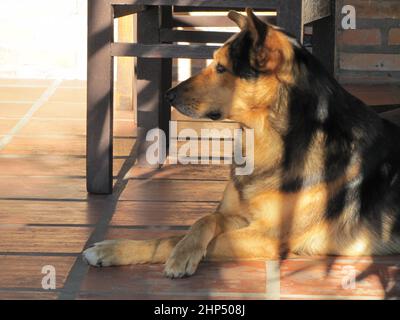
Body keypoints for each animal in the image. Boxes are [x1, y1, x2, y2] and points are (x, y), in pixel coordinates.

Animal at [83, 7, 400, 278]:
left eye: (222, 68)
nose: (168, 95)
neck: (265, 137)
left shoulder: (267, 238)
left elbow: (192, 239)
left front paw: (179, 256)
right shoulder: (237, 217)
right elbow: (197, 223)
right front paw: (117, 249)